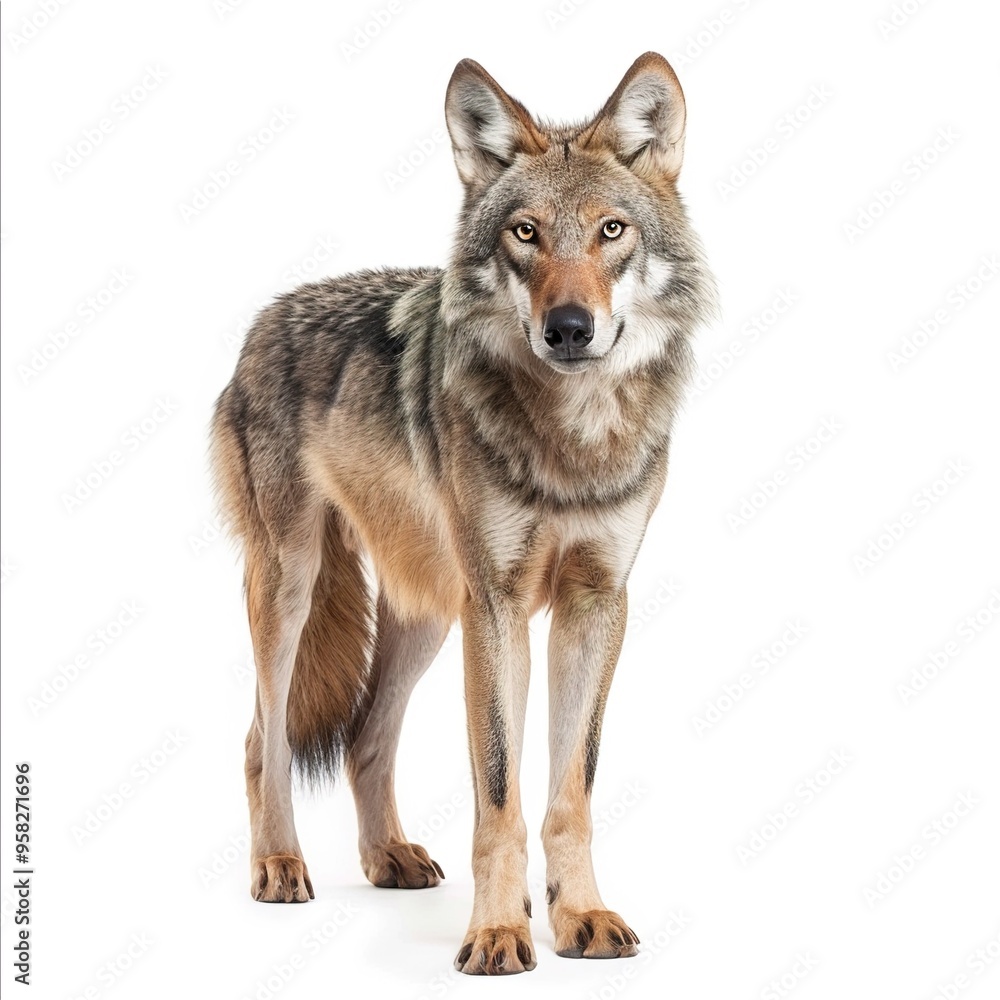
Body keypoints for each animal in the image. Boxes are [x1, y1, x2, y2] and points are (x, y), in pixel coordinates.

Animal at [211, 51, 715, 975]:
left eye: (611, 231)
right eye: (525, 233)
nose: (569, 328)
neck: (572, 441)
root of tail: (265, 318)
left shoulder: (596, 605)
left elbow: (568, 790)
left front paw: (576, 915)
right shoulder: (501, 605)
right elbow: (501, 794)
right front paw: (497, 931)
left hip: (427, 614)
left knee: (366, 737)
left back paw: (389, 858)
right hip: (298, 589)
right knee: (263, 739)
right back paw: (279, 865)